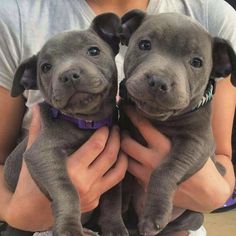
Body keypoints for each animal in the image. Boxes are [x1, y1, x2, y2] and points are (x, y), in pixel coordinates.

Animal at [4, 12, 125, 236]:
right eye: (46, 67)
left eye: (93, 51)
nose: (69, 74)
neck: (87, 122)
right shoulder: (42, 154)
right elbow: (66, 189)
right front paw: (69, 226)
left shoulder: (115, 163)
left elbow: (113, 197)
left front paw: (114, 226)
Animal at [119, 10, 236, 236]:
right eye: (144, 45)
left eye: (197, 62)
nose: (158, 81)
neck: (158, 119)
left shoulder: (196, 144)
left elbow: (166, 169)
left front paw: (153, 215)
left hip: (194, 216)